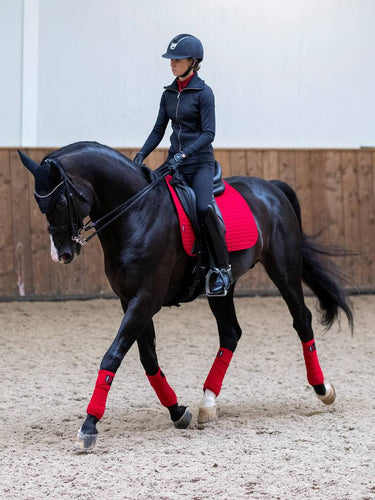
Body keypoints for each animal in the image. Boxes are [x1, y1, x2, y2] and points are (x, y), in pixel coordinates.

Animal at [18, 143, 352, 452]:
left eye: (62, 200)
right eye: (38, 203)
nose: (62, 254)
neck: (137, 213)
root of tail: (270, 187)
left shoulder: (146, 298)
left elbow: (113, 355)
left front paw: (89, 426)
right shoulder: (130, 300)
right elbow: (148, 358)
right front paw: (177, 411)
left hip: (283, 269)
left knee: (302, 320)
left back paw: (322, 389)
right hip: (222, 287)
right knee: (230, 333)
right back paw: (208, 403)